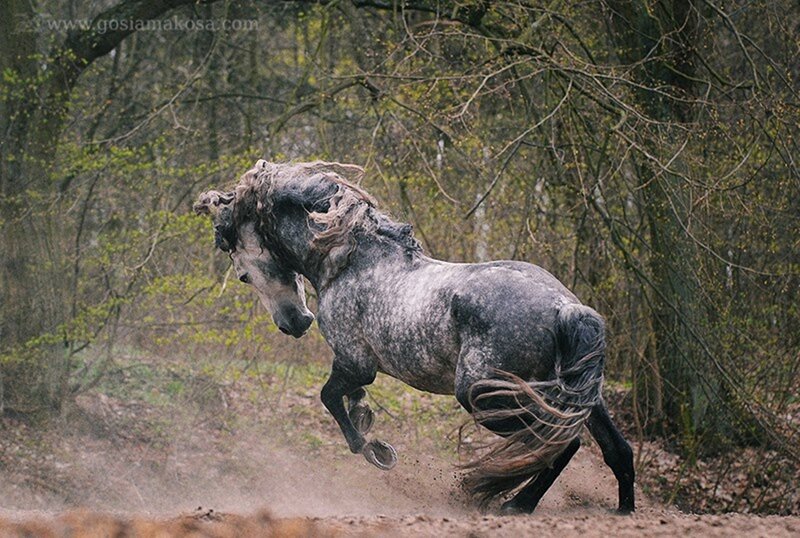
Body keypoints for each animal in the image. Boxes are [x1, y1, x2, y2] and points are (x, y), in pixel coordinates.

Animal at [194, 160, 635, 514]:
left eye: (243, 275)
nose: (295, 323)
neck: (347, 261)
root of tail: (565, 307)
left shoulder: (355, 363)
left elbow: (329, 398)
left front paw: (376, 452)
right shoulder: (355, 368)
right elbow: (348, 400)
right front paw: (367, 422)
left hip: (485, 397)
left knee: (559, 444)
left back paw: (516, 504)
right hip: (582, 397)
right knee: (615, 450)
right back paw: (622, 510)